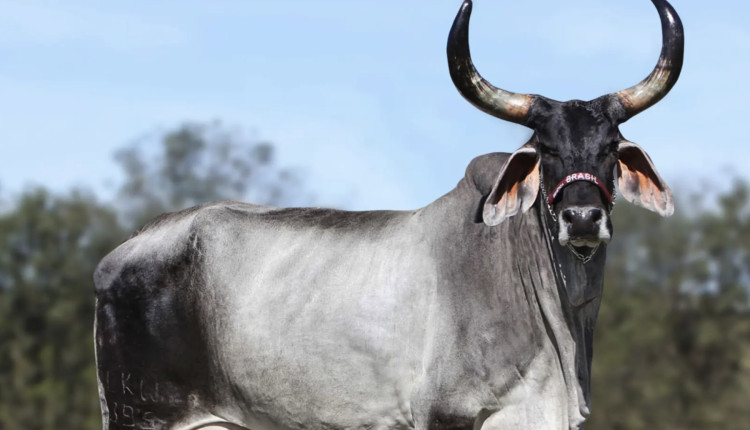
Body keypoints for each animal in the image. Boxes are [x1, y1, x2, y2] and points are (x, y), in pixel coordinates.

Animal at [95, 0, 688, 430]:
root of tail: (123, 250)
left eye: (610, 147)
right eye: (545, 149)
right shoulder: (448, 414)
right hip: (140, 416)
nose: (583, 218)